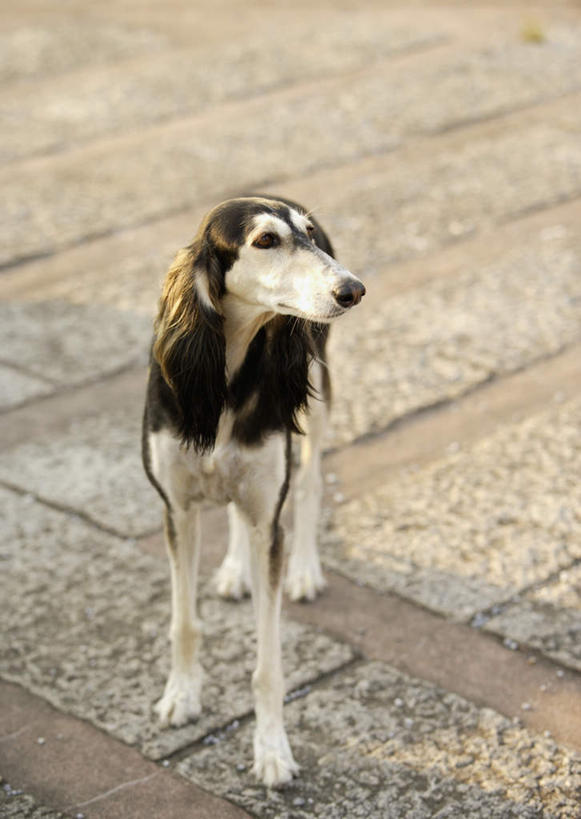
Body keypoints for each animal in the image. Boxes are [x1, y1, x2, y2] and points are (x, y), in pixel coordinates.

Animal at [140, 197, 362, 788]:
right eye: (265, 241)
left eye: (308, 234)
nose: (353, 289)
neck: (229, 373)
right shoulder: (177, 511)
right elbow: (183, 622)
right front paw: (181, 696)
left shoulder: (269, 524)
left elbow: (269, 665)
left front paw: (272, 749)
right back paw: (234, 571)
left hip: (317, 394)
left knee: (308, 486)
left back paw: (306, 570)